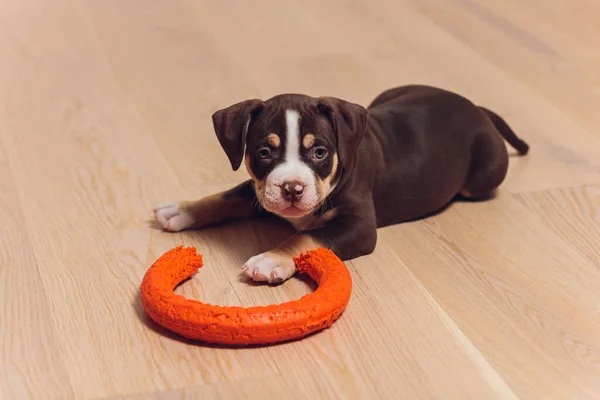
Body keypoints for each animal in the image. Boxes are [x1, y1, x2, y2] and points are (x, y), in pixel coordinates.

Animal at [152, 85, 528, 284]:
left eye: (320, 152)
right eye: (264, 152)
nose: (291, 189)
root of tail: (476, 108)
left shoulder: (359, 227)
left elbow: (304, 236)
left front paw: (271, 259)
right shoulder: (260, 187)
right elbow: (226, 196)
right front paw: (182, 210)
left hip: (484, 174)